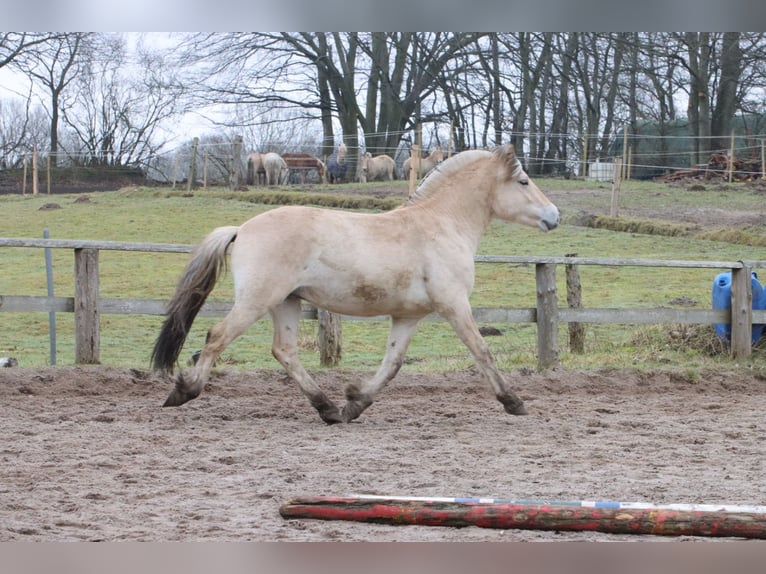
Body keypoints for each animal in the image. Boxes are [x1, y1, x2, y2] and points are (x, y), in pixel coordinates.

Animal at [152, 144, 560, 424]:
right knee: (217, 336)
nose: (554, 216)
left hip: (286, 302)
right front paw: (514, 402)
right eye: (523, 181)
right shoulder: (454, 305)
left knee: (285, 351)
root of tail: (241, 229)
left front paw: (355, 402)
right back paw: (184, 392)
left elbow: (393, 364)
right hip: (257, 301)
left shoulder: (409, 316)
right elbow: (482, 351)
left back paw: (329, 409)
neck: (443, 224)